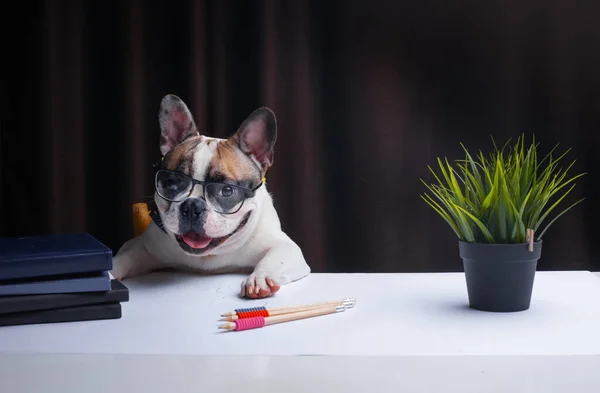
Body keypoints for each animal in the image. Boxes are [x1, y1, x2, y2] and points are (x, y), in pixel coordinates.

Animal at [109, 95, 312, 298]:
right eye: (172, 183)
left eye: (226, 191)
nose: (192, 205)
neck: (209, 257)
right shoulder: (142, 245)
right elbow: (123, 257)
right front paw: (110, 275)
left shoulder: (285, 247)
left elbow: (273, 259)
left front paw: (260, 278)